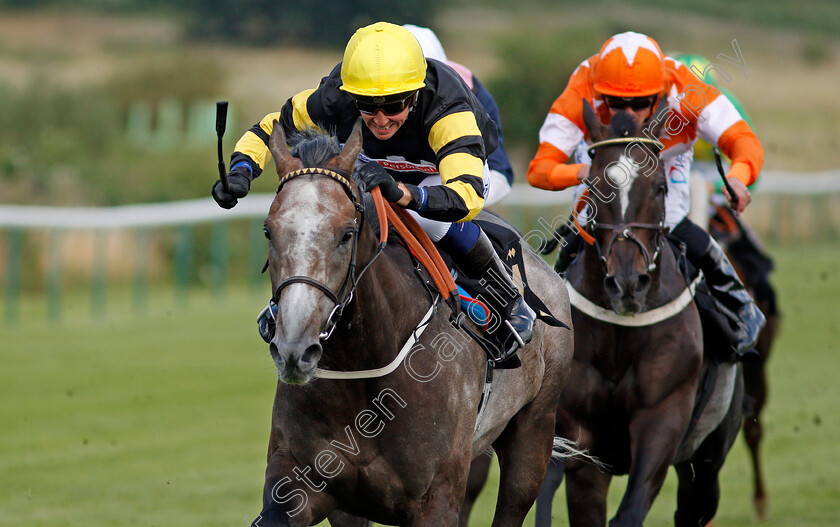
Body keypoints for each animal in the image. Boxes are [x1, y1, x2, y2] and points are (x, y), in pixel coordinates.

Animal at [253, 120, 576, 527]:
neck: (363, 365)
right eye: (268, 231)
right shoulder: (311, 486)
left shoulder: (436, 500)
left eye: (346, 234)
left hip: (534, 433)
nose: (294, 349)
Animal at [528, 101, 744, 524]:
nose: (628, 283)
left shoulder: (663, 417)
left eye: (660, 187)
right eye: (595, 185)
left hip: (708, 455)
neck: (620, 335)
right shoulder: (579, 444)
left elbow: (629, 512)